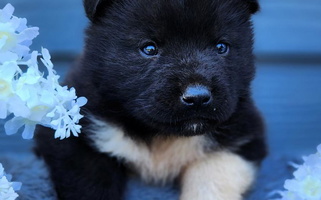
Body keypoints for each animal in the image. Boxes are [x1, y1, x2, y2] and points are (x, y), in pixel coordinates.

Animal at [35, 0, 266, 200]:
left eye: (221, 47)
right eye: (149, 48)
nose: (197, 97)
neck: (161, 136)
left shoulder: (241, 138)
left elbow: (210, 181)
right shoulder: (72, 140)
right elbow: (90, 185)